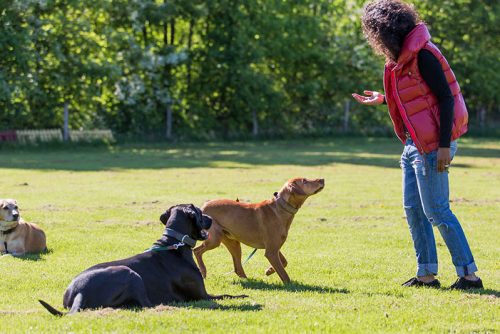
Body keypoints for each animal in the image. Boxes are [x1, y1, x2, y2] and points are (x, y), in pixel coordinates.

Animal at [38, 204, 246, 316]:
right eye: (201, 214)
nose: (210, 218)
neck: (174, 243)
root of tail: (79, 292)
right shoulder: (203, 296)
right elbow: (227, 295)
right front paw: (242, 296)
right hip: (130, 273)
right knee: (147, 304)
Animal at [193, 176, 326, 284]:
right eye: (305, 181)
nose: (322, 179)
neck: (281, 208)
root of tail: (202, 207)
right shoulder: (271, 251)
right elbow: (284, 274)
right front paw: (291, 286)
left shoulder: (274, 247)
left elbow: (284, 262)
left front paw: (269, 270)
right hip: (214, 239)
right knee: (197, 251)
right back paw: (203, 271)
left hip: (233, 242)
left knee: (237, 267)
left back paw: (249, 281)